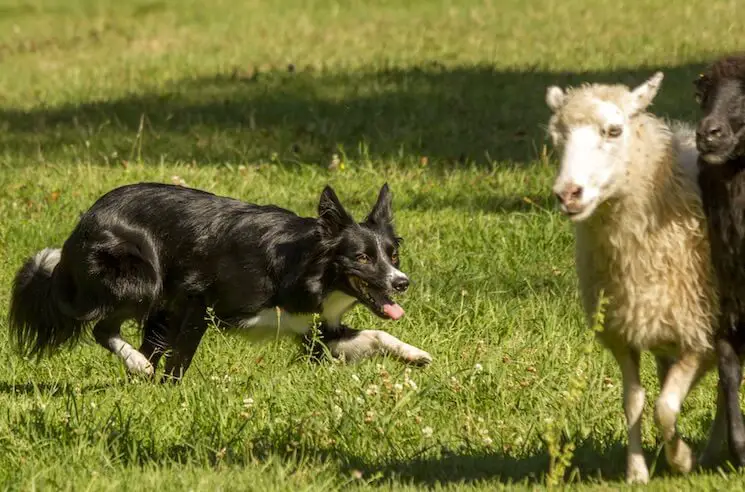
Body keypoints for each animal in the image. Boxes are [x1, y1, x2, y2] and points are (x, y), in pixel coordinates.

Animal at [7, 182, 430, 380]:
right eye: (362, 258)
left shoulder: (317, 333)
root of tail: (83, 222)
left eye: (392, 256)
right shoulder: (197, 301)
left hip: (156, 303)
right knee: (102, 328)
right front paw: (169, 394)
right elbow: (181, 359)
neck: (305, 268)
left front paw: (414, 354)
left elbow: (376, 335)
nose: (402, 282)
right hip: (142, 282)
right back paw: (139, 367)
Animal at [548, 71, 720, 482]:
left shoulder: (700, 332)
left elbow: (666, 407)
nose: (567, 193)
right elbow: (635, 402)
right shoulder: (623, 332)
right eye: (556, 137)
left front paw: (681, 460)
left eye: (614, 130)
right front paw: (638, 472)